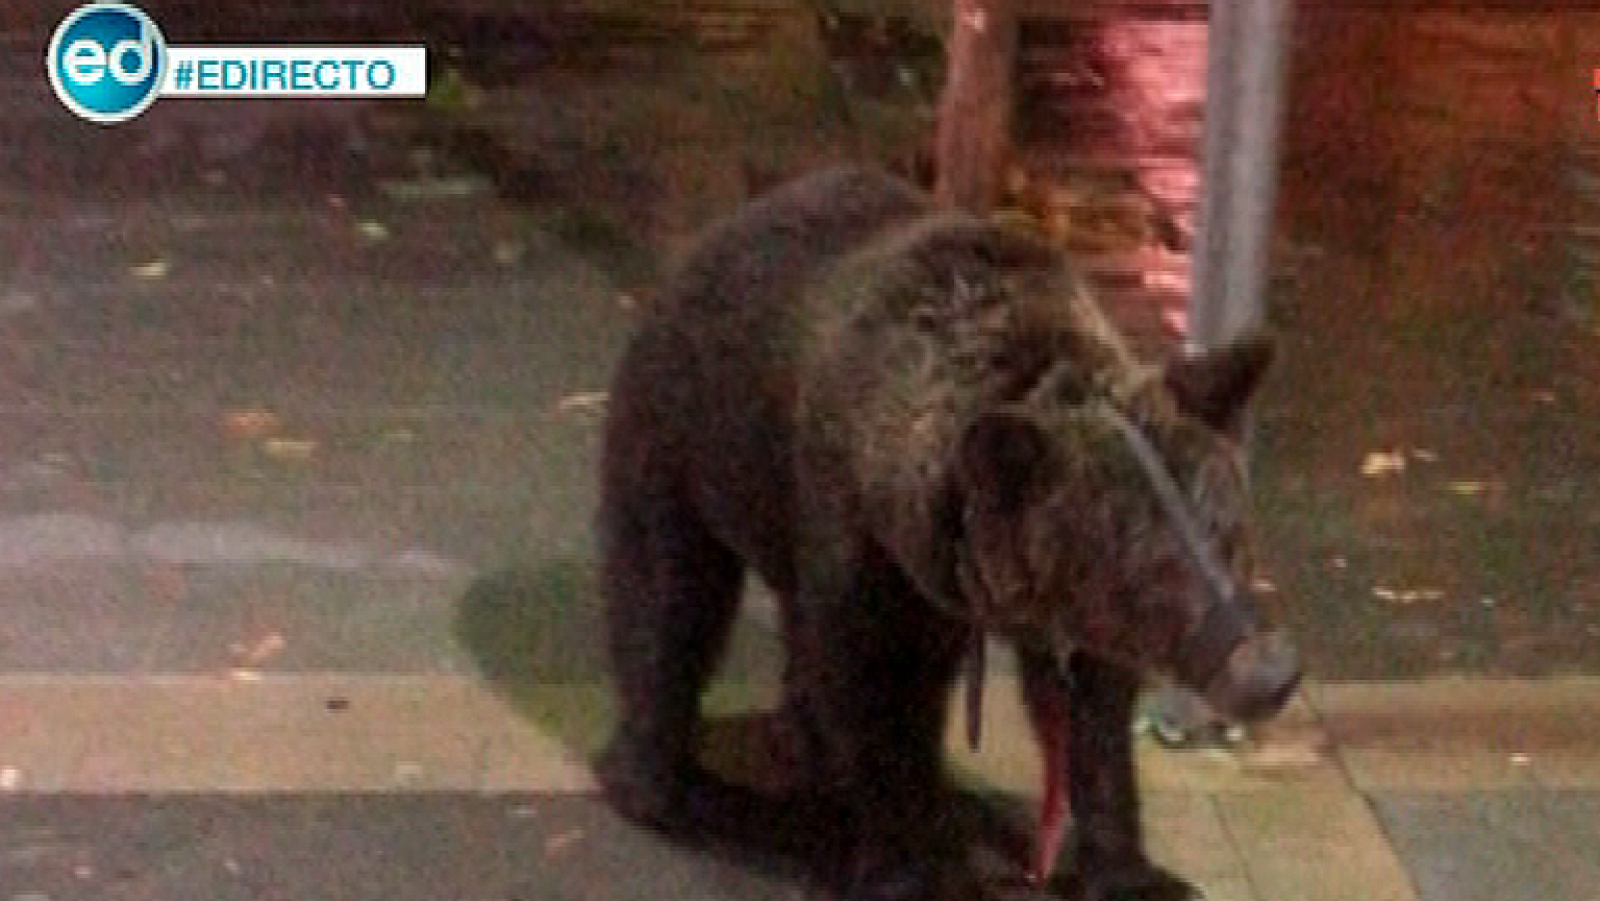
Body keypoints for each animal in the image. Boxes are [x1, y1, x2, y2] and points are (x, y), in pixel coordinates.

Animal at [595, 167, 1299, 901]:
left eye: (1229, 533)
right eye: (1152, 567)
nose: (1268, 670)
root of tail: (716, 235)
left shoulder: (1001, 592)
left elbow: (1089, 718)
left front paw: (1133, 871)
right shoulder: (861, 542)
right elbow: (871, 693)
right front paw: (911, 863)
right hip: (684, 436)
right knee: (669, 601)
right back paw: (693, 788)